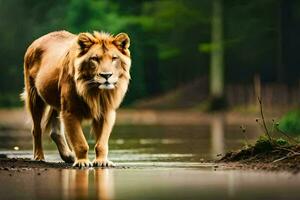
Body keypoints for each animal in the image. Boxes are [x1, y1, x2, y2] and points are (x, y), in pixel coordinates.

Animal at [21, 30, 131, 167]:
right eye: (95, 59)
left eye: (114, 58)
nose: (106, 75)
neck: (95, 91)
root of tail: (36, 41)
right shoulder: (70, 111)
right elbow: (80, 142)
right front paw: (82, 162)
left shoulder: (106, 112)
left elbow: (102, 142)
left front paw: (102, 161)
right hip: (34, 96)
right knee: (36, 130)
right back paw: (39, 157)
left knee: (55, 132)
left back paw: (69, 156)